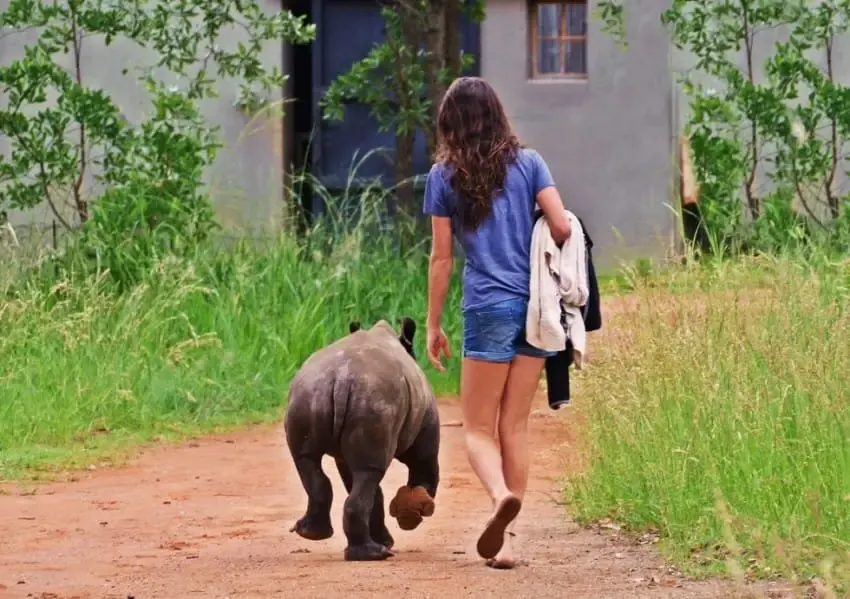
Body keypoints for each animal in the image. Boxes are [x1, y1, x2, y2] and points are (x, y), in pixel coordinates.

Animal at [286, 318, 444, 564]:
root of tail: (342, 378)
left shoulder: (345, 456)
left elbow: (362, 482)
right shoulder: (425, 428)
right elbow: (423, 467)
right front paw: (410, 515)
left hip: (308, 394)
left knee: (309, 460)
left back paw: (313, 534)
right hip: (374, 399)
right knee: (370, 472)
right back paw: (373, 554)